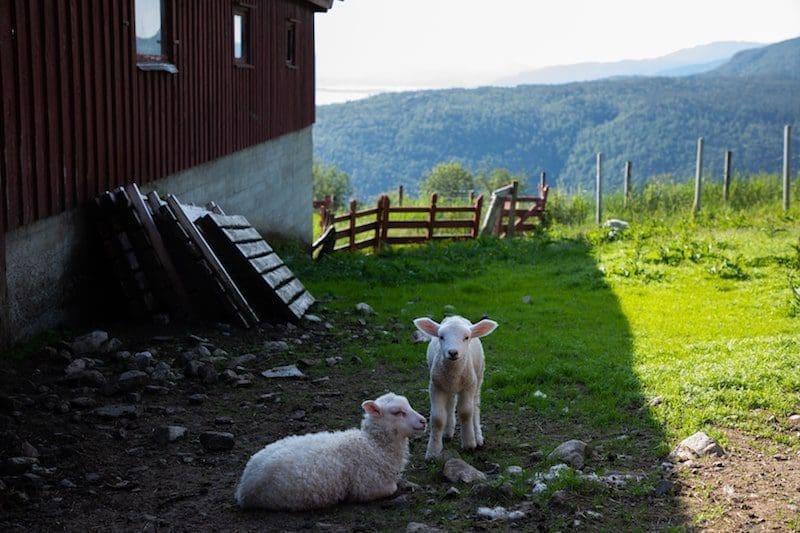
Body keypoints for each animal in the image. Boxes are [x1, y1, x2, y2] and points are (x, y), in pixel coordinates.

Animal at [234, 392, 428, 510]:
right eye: (397, 412)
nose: (424, 421)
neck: (373, 445)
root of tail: (243, 486)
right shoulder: (369, 487)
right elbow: (392, 488)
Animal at [412, 314, 500, 460]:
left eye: (466, 337)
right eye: (441, 337)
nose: (453, 352)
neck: (454, 372)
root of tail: (456, 316)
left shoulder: (469, 385)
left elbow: (466, 412)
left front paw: (469, 443)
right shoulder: (436, 386)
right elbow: (437, 418)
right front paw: (433, 451)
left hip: (478, 377)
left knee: (475, 406)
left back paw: (478, 436)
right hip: (447, 385)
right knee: (451, 403)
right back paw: (447, 432)